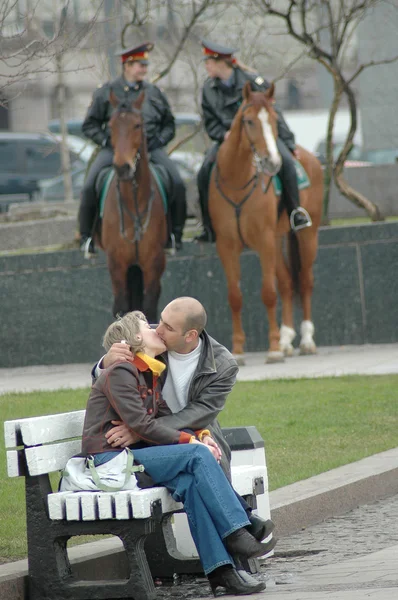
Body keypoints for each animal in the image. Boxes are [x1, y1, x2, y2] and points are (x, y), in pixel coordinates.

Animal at [97, 91, 167, 322]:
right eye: (110, 126)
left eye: (137, 125)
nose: (122, 167)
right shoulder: (117, 264)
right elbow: (121, 307)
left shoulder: (153, 263)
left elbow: (150, 307)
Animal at [208, 82, 324, 364]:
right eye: (249, 121)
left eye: (273, 120)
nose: (273, 162)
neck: (238, 180)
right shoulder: (227, 246)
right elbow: (235, 296)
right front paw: (238, 351)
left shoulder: (263, 241)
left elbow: (268, 293)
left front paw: (272, 349)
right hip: (278, 239)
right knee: (287, 283)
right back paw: (286, 340)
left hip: (306, 236)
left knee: (305, 281)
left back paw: (305, 340)